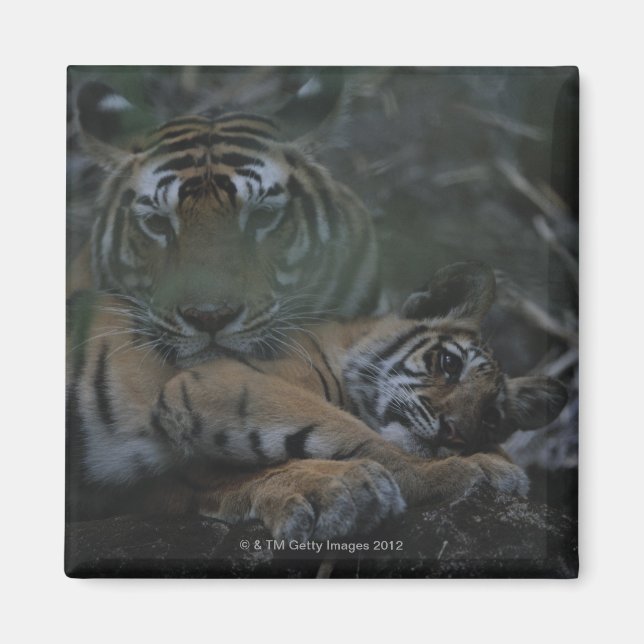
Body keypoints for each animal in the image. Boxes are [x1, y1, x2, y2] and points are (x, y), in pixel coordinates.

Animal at [67, 259, 567, 542]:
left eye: (492, 416)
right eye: (448, 362)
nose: (456, 434)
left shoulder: (166, 482)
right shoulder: (222, 380)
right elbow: (353, 434)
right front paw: (472, 469)